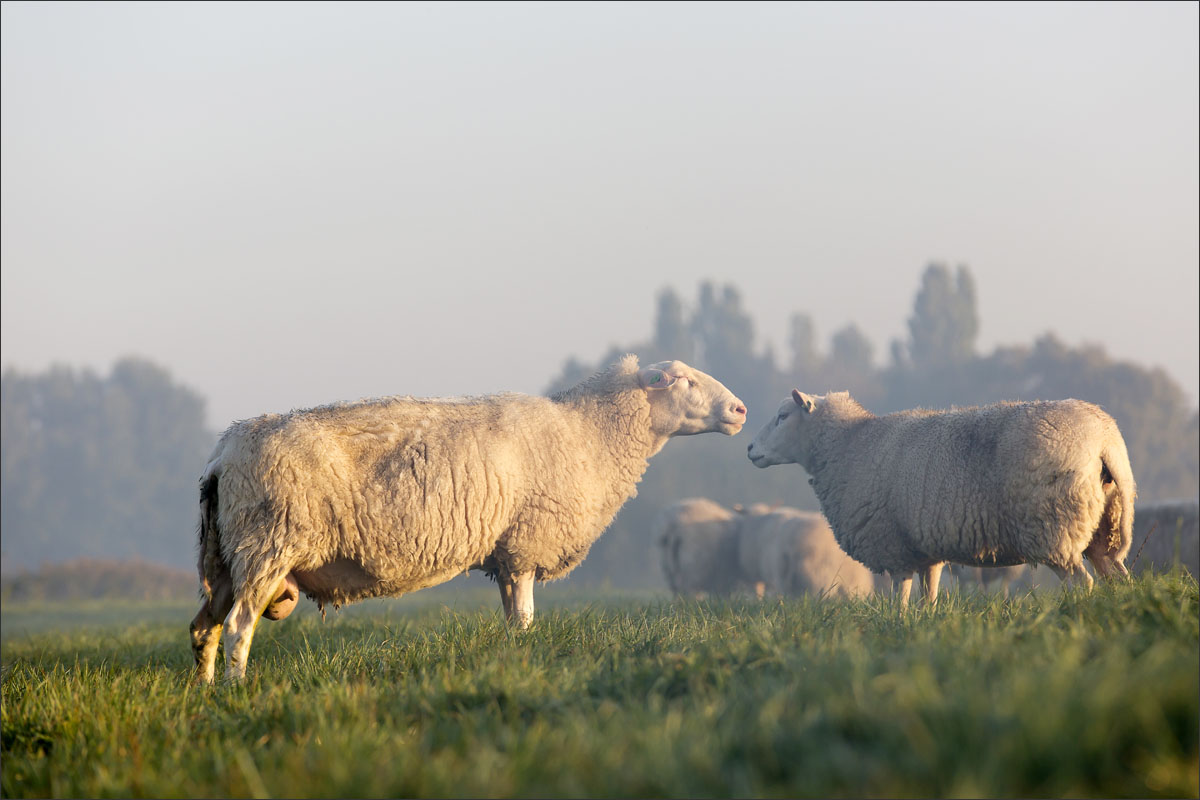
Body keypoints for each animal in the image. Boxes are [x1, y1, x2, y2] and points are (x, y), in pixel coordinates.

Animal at [190, 355, 746, 683]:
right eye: (681, 380)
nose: (740, 410)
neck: (587, 435)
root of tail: (221, 456)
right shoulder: (525, 545)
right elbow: (525, 618)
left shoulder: (507, 554)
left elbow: (513, 621)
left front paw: (516, 658)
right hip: (266, 543)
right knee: (238, 626)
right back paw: (239, 692)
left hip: (227, 557)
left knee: (204, 629)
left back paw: (207, 694)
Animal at [747, 389, 1136, 605]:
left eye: (782, 416)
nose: (750, 449)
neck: (850, 444)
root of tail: (1104, 439)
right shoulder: (925, 551)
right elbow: (929, 598)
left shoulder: (894, 547)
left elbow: (900, 602)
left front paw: (897, 627)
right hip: (1106, 527)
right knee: (1117, 578)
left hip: (1053, 528)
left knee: (1082, 583)